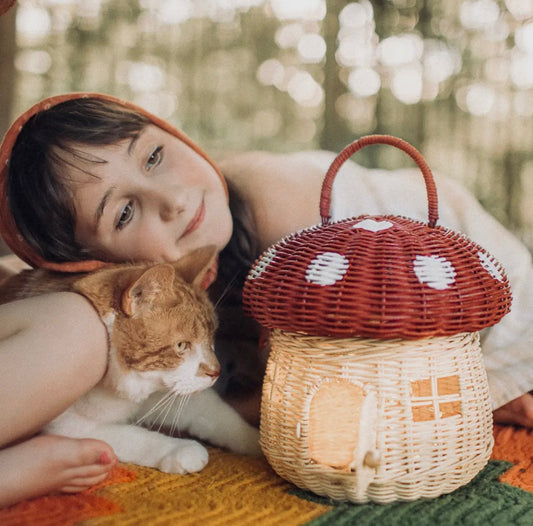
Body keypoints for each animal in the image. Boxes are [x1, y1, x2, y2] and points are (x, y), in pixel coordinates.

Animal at [0, 250, 262, 476]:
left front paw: (259, 443)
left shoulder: (168, 394)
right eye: (182, 346)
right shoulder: (69, 426)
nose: (216, 371)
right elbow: (135, 436)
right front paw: (180, 449)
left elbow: (217, 416)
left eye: (211, 338)